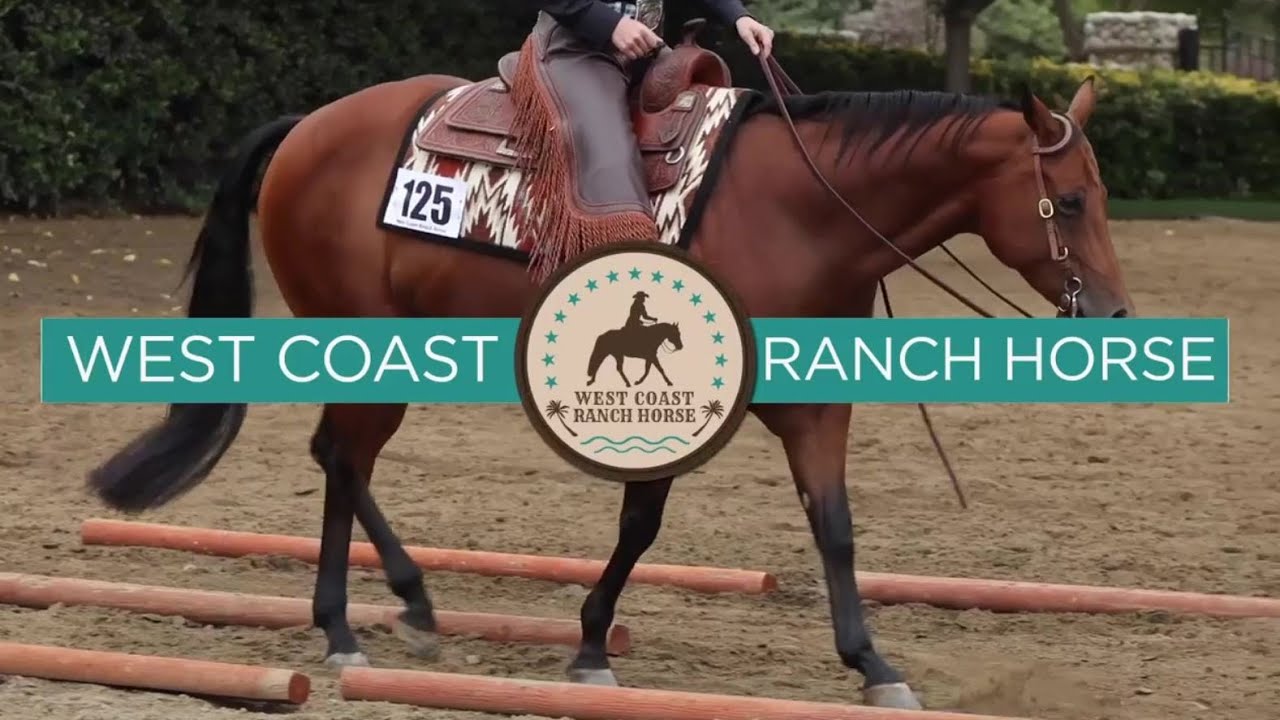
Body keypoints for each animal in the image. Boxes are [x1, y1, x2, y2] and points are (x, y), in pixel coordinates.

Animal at [85, 50, 1135, 710]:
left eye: (1101, 195)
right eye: (1070, 198)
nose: (1114, 318)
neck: (799, 210)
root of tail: (311, 126)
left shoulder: (812, 404)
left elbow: (832, 526)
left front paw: (872, 663)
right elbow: (642, 520)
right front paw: (592, 646)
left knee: (339, 457)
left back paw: (379, 612)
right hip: (364, 338)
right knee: (343, 458)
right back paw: (371, 620)